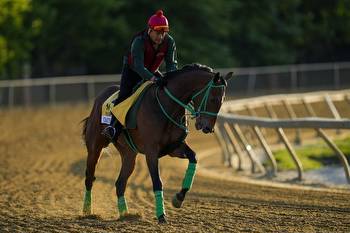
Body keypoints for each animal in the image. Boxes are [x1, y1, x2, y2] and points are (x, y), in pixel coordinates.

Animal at [81, 63, 232, 224]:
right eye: (213, 99)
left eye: (222, 100)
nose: (208, 128)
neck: (166, 106)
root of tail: (100, 96)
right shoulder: (151, 152)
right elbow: (157, 181)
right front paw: (161, 215)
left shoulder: (174, 147)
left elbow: (194, 158)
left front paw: (178, 198)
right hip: (95, 147)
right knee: (89, 178)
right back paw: (87, 212)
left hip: (129, 154)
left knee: (120, 183)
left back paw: (125, 214)